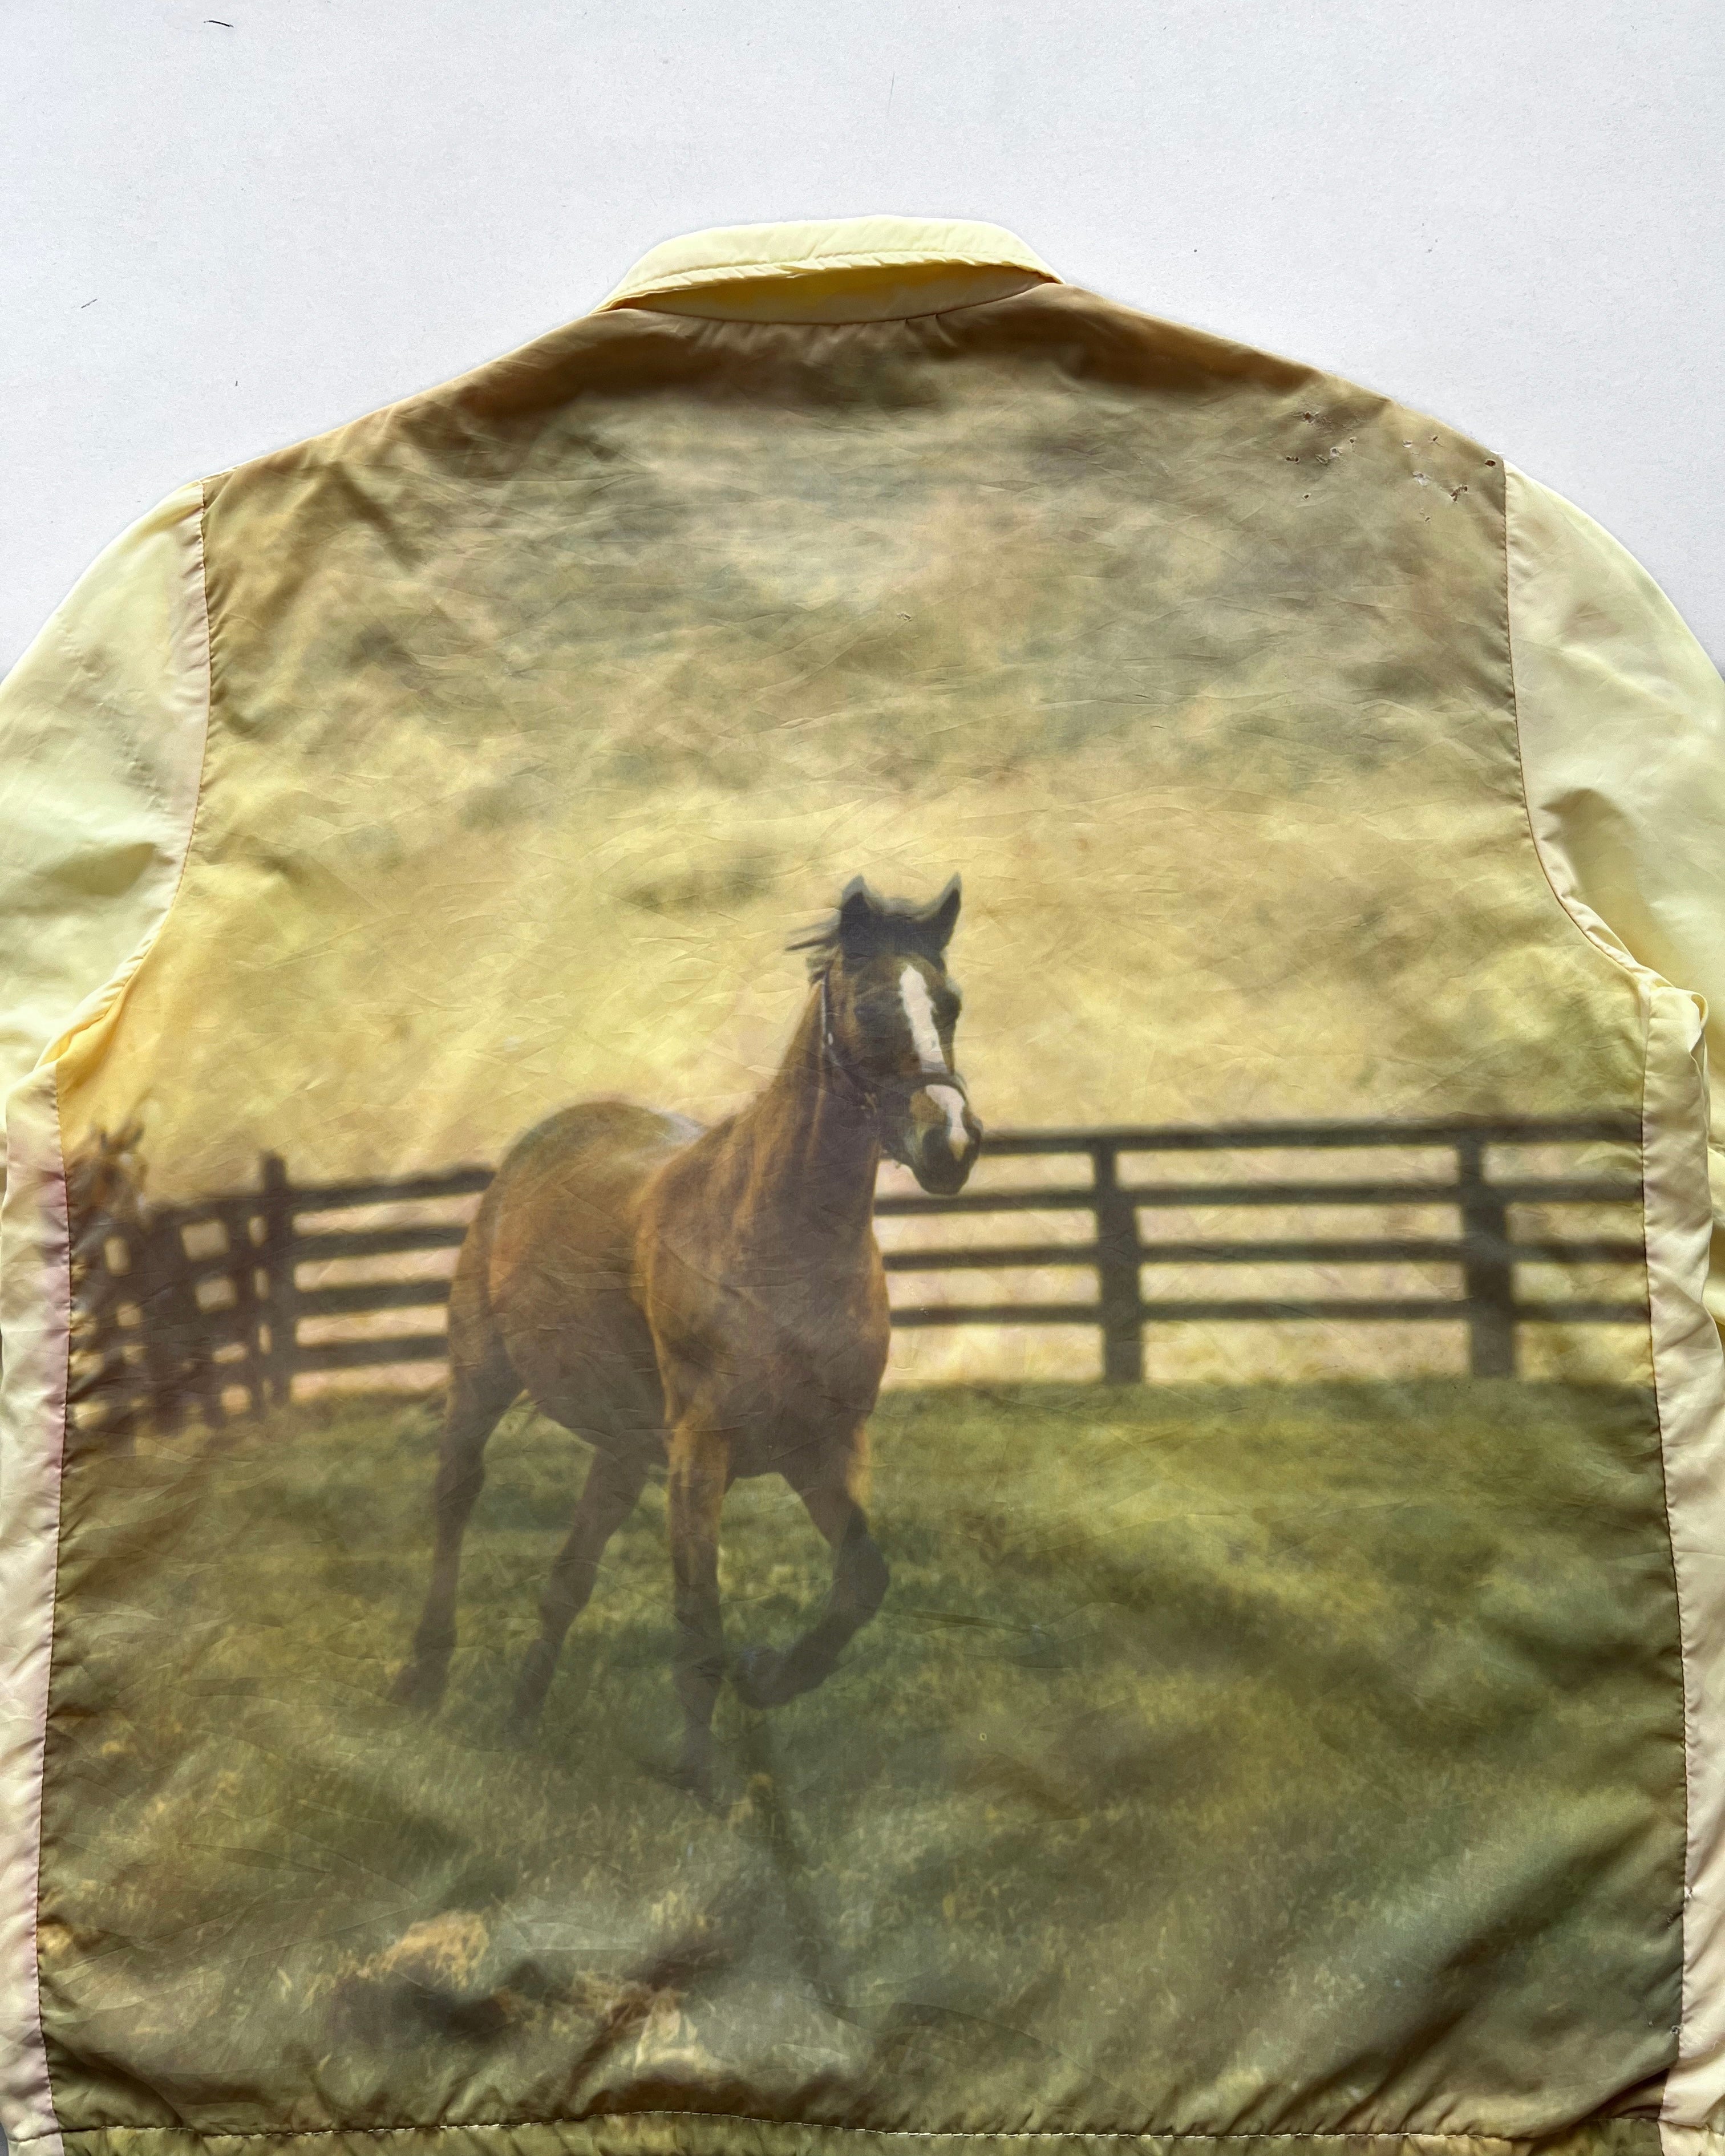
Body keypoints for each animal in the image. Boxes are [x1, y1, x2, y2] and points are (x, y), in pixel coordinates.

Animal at [391, 874, 983, 1793]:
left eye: (949, 1004)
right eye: (871, 1007)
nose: (949, 1144)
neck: (777, 1246)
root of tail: (541, 1143)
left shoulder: (828, 1445)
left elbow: (862, 1582)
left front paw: (768, 1676)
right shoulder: (700, 1457)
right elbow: (698, 1619)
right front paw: (705, 1783)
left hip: (624, 1449)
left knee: (567, 1579)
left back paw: (520, 1720)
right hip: (483, 1383)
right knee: (457, 1499)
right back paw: (424, 1682)